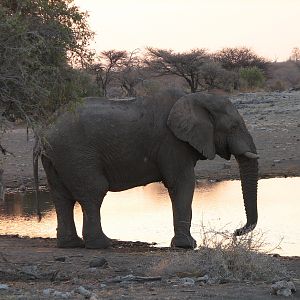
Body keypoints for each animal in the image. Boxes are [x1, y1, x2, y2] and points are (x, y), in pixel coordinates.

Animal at [34, 89, 258, 248]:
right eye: (234, 127)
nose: (235, 232)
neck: (195, 98)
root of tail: (45, 129)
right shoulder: (172, 143)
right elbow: (182, 183)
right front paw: (187, 246)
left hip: (58, 157)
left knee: (62, 197)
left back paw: (71, 244)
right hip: (76, 153)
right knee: (93, 192)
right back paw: (102, 245)